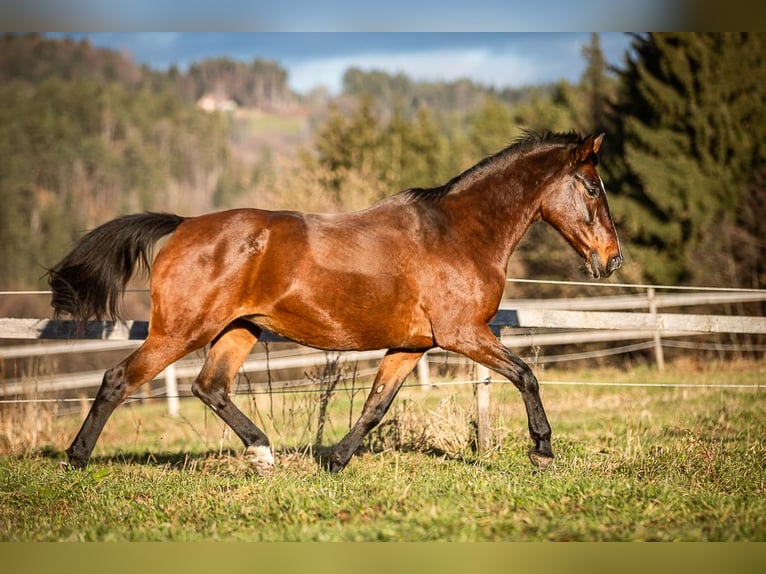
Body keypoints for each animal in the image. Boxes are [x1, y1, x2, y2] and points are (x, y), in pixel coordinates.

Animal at [49, 130, 624, 476]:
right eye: (593, 188)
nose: (612, 259)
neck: (459, 233)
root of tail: (184, 225)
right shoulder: (463, 333)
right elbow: (526, 373)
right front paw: (542, 449)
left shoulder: (412, 346)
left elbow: (375, 406)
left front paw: (336, 461)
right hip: (180, 331)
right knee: (118, 380)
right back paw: (76, 459)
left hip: (240, 329)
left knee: (210, 387)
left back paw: (264, 453)